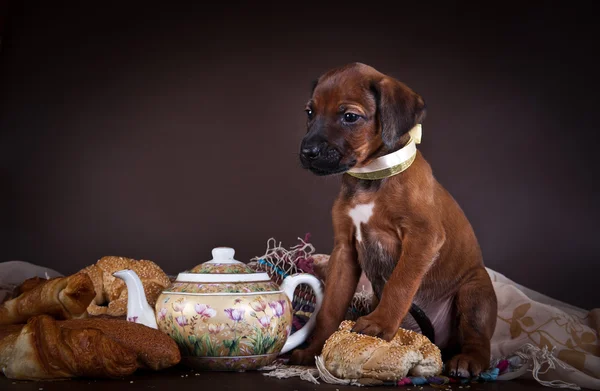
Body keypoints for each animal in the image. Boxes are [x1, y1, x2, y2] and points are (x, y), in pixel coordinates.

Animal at [290, 62, 496, 378]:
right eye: (310, 112)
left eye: (350, 117)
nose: (307, 152)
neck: (372, 175)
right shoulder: (344, 251)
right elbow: (330, 309)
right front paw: (314, 349)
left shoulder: (423, 238)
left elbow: (399, 283)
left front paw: (380, 324)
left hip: (475, 290)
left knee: (479, 340)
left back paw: (467, 360)